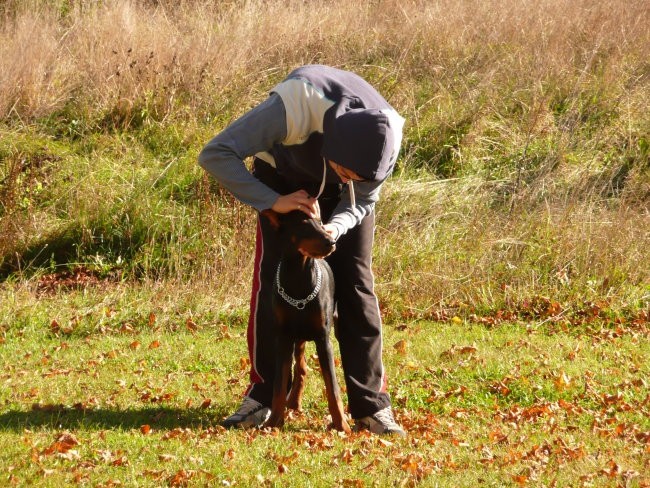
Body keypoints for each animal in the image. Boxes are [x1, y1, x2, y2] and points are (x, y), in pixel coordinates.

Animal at [258, 208, 350, 432]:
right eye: (304, 225)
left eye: (320, 223)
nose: (331, 242)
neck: (298, 277)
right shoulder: (282, 338)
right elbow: (279, 384)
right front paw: (274, 421)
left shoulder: (323, 339)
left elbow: (332, 387)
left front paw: (341, 425)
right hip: (296, 338)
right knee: (301, 368)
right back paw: (293, 402)